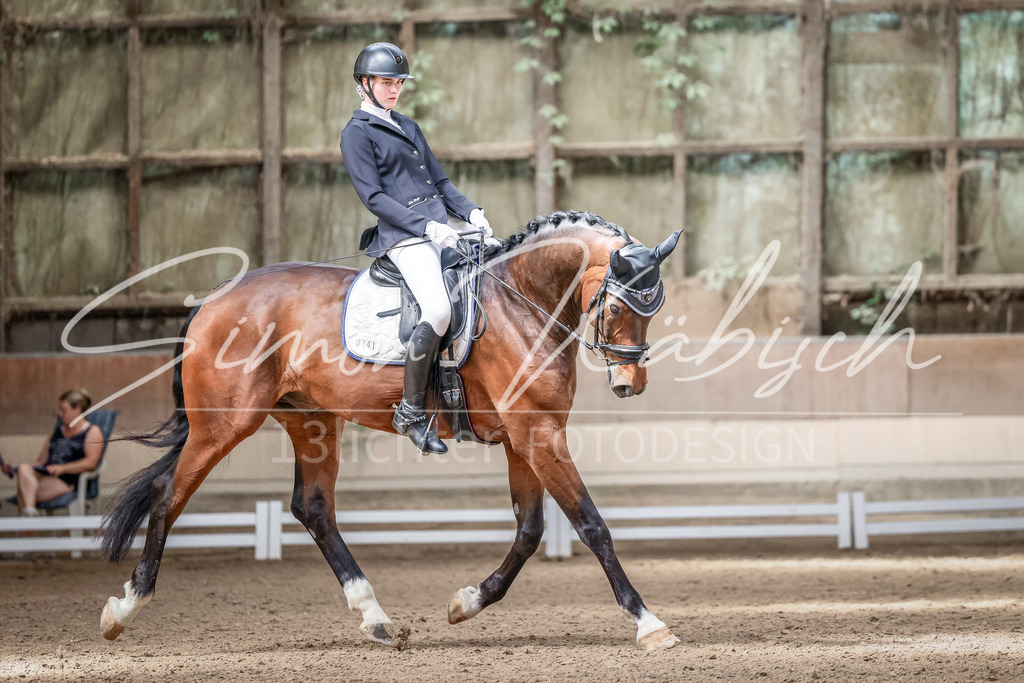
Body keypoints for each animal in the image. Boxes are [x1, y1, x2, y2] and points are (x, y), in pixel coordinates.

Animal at [98, 210, 683, 651]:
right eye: (616, 306)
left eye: (655, 308)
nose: (629, 384)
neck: (521, 300)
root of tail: (216, 295)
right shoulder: (538, 436)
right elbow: (592, 525)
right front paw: (648, 622)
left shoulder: (525, 440)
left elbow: (530, 530)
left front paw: (467, 602)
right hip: (224, 424)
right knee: (166, 495)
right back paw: (124, 608)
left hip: (311, 421)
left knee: (313, 508)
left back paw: (374, 616)